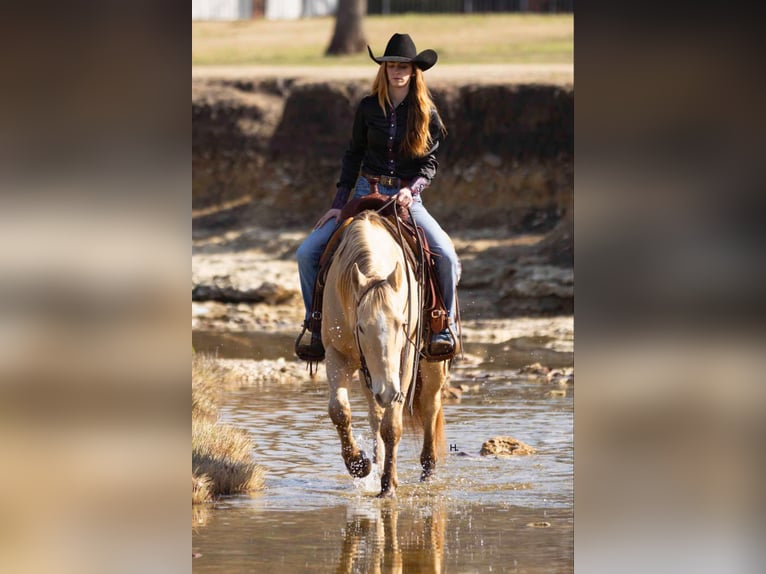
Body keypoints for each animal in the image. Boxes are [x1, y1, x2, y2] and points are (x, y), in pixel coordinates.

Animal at [320, 212, 448, 500]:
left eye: (402, 324)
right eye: (360, 327)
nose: (388, 390)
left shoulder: (405, 362)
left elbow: (393, 426)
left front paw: (387, 486)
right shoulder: (336, 354)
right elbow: (339, 410)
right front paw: (359, 464)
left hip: (432, 364)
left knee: (430, 405)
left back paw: (427, 472)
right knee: (375, 413)